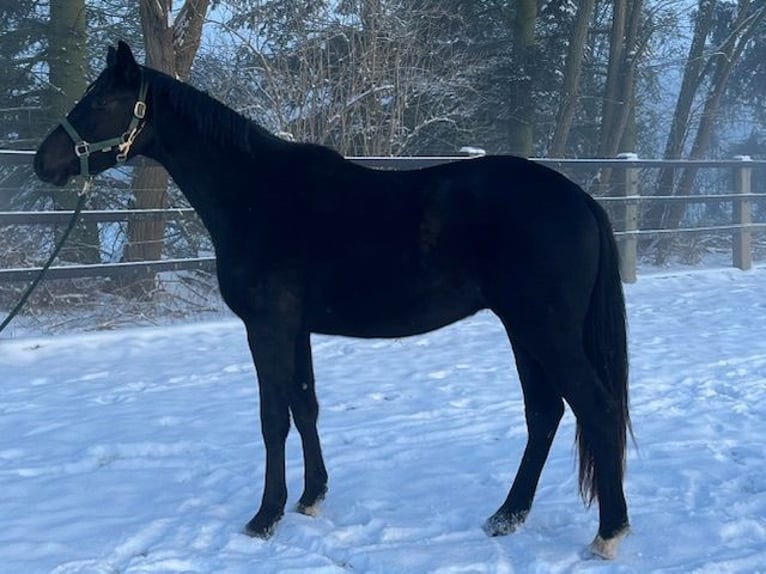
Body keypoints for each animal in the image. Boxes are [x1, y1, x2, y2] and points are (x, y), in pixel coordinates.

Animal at [34, 41, 632, 564]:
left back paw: (607, 534)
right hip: (523, 330)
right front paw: (311, 498)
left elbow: (272, 417)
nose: (44, 162)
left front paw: (265, 517)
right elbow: (305, 406)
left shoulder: (268, 328)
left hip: (544, 331)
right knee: (545, 412)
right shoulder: (296, 329)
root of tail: (580, 199)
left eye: (102, 102)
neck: (255, 194)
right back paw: (506, 516)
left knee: (596, 409)